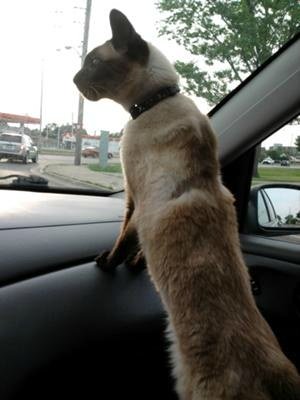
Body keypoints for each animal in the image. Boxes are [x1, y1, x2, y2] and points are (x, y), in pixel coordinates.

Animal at [73, 9, 300, 400]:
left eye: (93, 63)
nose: (74, 79)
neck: (157, 100)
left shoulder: (135, 200)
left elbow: (123, 238)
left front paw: (107, 264)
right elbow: (137, 248)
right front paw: (135, 264)